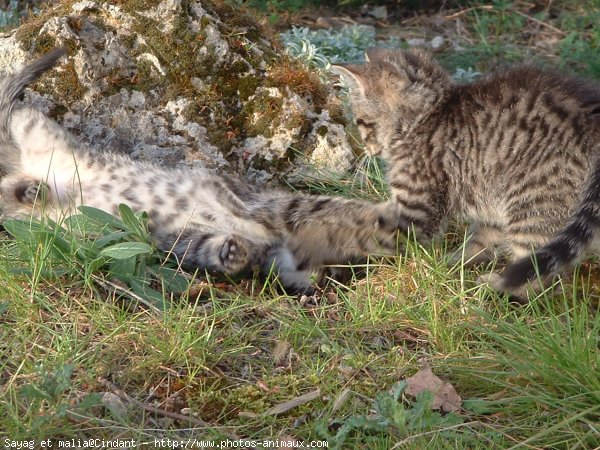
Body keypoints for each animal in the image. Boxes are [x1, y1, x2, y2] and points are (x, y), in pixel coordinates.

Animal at [1, 50, 404, 296]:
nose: (329, 275)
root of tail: (27, 164)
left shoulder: (185, 239)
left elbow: (217, 249)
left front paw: (235, 255)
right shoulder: (263, 204)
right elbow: (326, 208)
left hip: (49, 219)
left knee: (11, 193)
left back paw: (31, 191)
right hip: (36, 128)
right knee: (13, 142)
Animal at [330, 48, 600, 298]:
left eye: (362, 122)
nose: (366, 148)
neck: (427, 117)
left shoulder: (416, 206)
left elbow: (379, 235)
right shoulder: (489, 207)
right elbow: (480, 243)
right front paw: (451, 264)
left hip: (533, 202)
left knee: (540, 275)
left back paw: (496, 289)